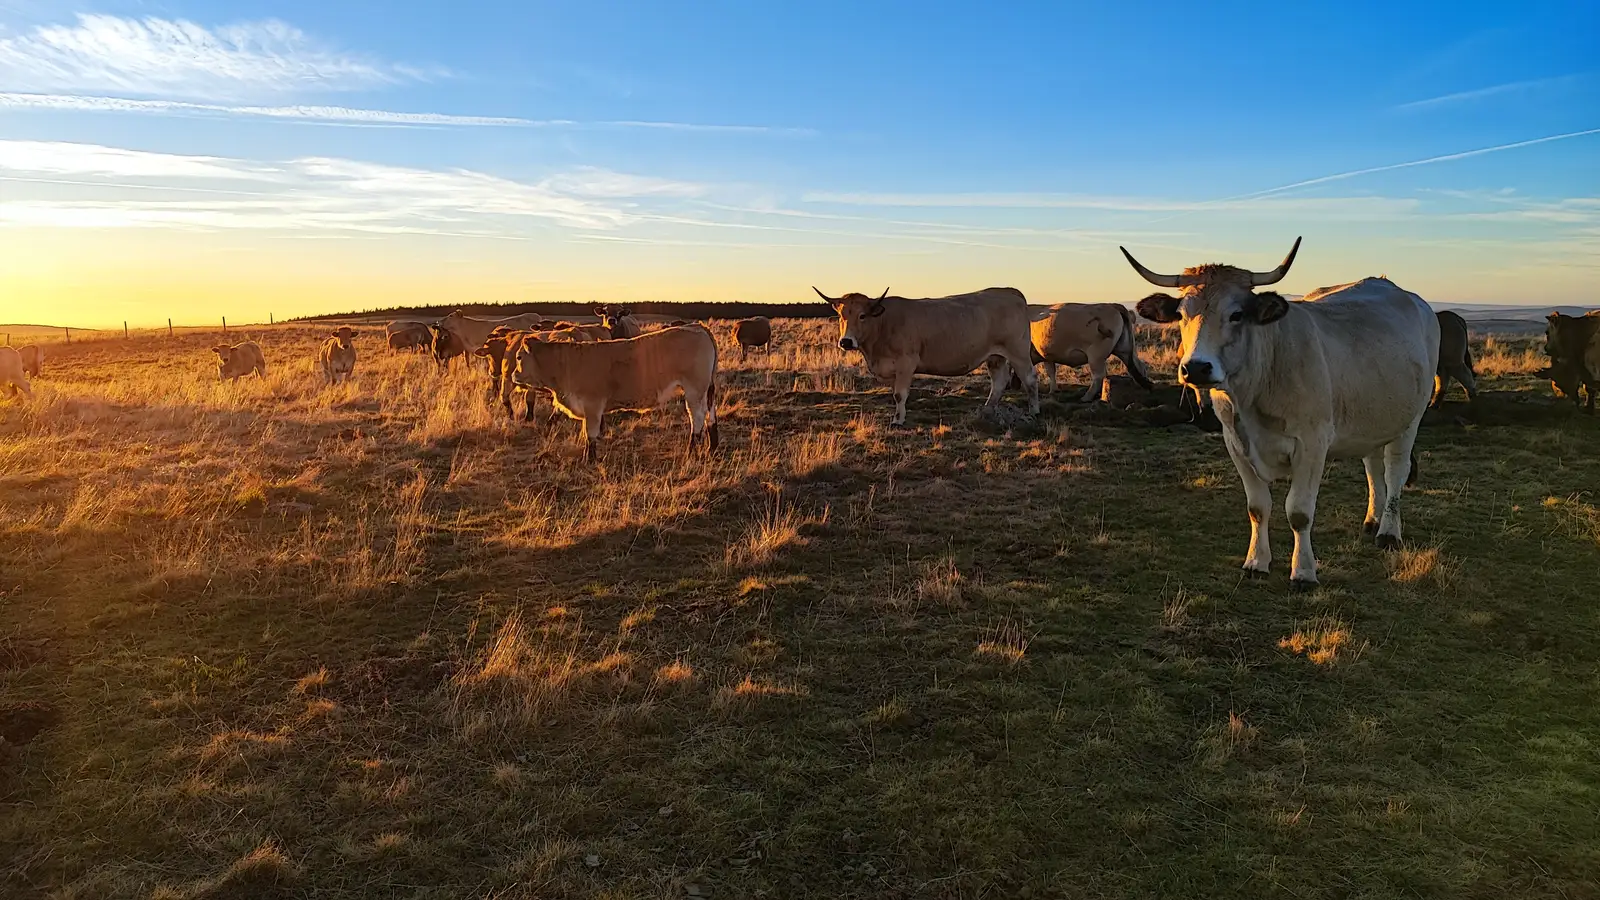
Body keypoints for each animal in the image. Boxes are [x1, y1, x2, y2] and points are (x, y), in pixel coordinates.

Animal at [509, 324, 719, 461]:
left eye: (519, 357)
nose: (513, 376)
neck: (568, 363)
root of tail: (698, 327)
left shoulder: (592, 405)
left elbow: (590, 434)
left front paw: (589, 460)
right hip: (706, 390)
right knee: (711, 414)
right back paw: (712, 446)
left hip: (694, 390)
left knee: (697, 418)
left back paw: (692, 450)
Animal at [814, 287, 1040, 427]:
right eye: (841, 316)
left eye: (862, 316)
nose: (846, 341)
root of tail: (1011, 292)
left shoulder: (906, 363)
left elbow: (900, 394)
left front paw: (898, 421)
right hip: (995, 356)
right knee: (999, 382)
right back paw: (988, 410)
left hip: (1018, 353)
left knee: (1030, 380)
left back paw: (1034, 411)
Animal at [1126, 237, 1439, 588]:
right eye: (1181, 314)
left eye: (1236, 314)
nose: (1196, 368)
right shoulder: (1235, 444)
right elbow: (1257, 507)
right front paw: (1256, 561)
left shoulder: (1312, 444)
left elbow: (1299, 512)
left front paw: (1303, 571)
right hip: (1372, 418)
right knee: (1373, 468)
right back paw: (1372, 520)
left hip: (1410, 418)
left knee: (1395, 471)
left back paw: (1388, 531)